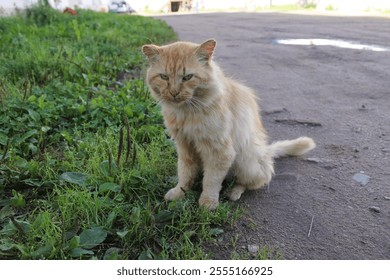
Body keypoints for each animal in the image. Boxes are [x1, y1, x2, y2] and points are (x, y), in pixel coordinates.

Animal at [142, 39, 316, 210]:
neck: (186, 113)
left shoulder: (219, 151)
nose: (174, 93)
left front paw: (208, 203)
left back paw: (234, 192)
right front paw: (180, 192)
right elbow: (185, 174)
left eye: (187, 77)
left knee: (254, 181)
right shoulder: (185, 147)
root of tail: (266, 151)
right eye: (164, 77)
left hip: (245, 162)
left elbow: (211, 181)